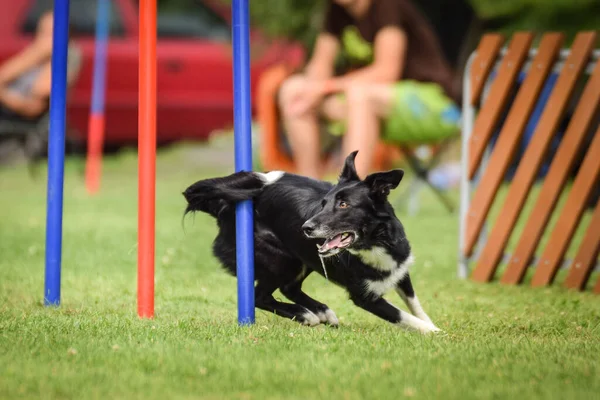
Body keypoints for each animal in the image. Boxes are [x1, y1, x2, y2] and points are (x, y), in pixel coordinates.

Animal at [184, 152, 440, 332]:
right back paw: (306, 315)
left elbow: (415, 306)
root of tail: (223, 205)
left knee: (289, 288)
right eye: (323, 204)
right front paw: (437, 334)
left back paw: (321, 311)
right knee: (260, 296)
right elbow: (403, 316)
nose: (306, 228)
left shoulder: (400, 269)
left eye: (344, 204)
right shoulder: (364, 297)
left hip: (302, 258)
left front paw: (433, 325)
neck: (372, 244)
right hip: (280, 259)